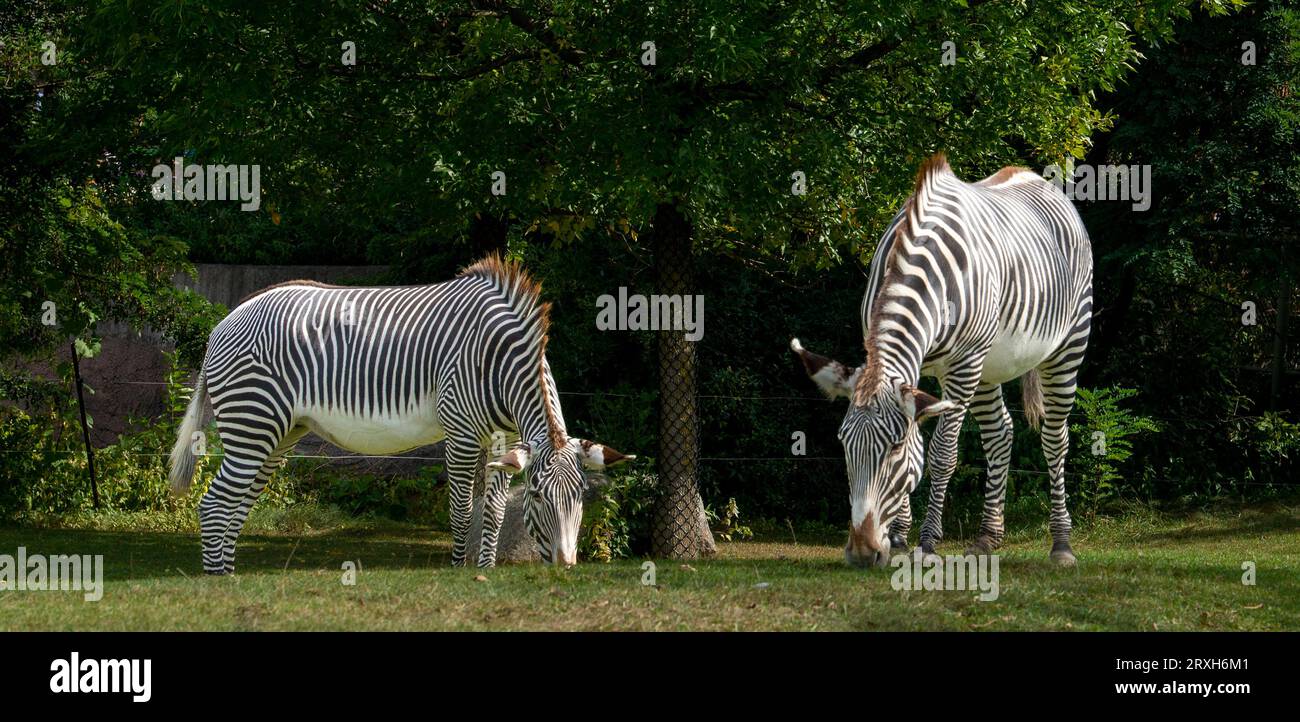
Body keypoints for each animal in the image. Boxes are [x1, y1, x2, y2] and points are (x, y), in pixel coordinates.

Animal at [169, 255, 634, 573]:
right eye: (537, 496)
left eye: (581, 496)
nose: (565, 567)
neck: (499, 360)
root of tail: (223, 322)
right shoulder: (461, 432)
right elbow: (462, 510)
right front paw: (460, 572)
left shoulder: (504, 439)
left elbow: (495, 511)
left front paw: (484, 571)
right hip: (252, 423)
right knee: (215, 503)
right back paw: (219, 582)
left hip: (279, 434)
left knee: (236, 504)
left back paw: (231, 574)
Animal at [791, 153, 1092, 568]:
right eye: (843, 444)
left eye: (894, 447)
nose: (863, 554)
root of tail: (1035, 177)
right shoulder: (919, 367)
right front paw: (899, 537)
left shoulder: (961, 367)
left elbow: (942, 454)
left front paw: (927, 542)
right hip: (988, 365)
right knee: (1000, 434)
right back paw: (986, 538)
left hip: (1066, 345)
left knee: (1055, 439)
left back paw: (1061, 544)